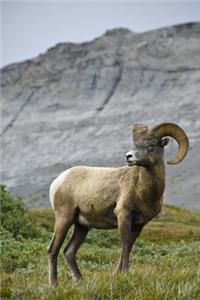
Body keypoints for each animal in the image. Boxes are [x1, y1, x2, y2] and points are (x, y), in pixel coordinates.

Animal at [48, 122, 189, 286]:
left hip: (82, 226)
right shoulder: (123, 215)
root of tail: (58, 181)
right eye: (135, 143)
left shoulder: (139, 225)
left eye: (150, 145)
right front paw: (125, 273)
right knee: (53, 250)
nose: (129, 156)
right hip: (64, 219)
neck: (142, 190)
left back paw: (80, 281)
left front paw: (117, 274)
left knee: (69, 251)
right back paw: (54, 284)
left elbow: (128, 247)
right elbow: (125, 245)